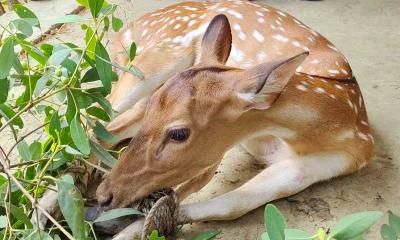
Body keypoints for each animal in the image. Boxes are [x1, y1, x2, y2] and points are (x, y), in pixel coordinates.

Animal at [36, 0, 374, 236]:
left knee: (103, 128)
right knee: (96, 123)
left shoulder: (309, 168)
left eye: (178, 133)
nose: (105, 196)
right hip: (155, 64)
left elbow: (230, 204)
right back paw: (46, 207)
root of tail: (122, 32)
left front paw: (140, 224)